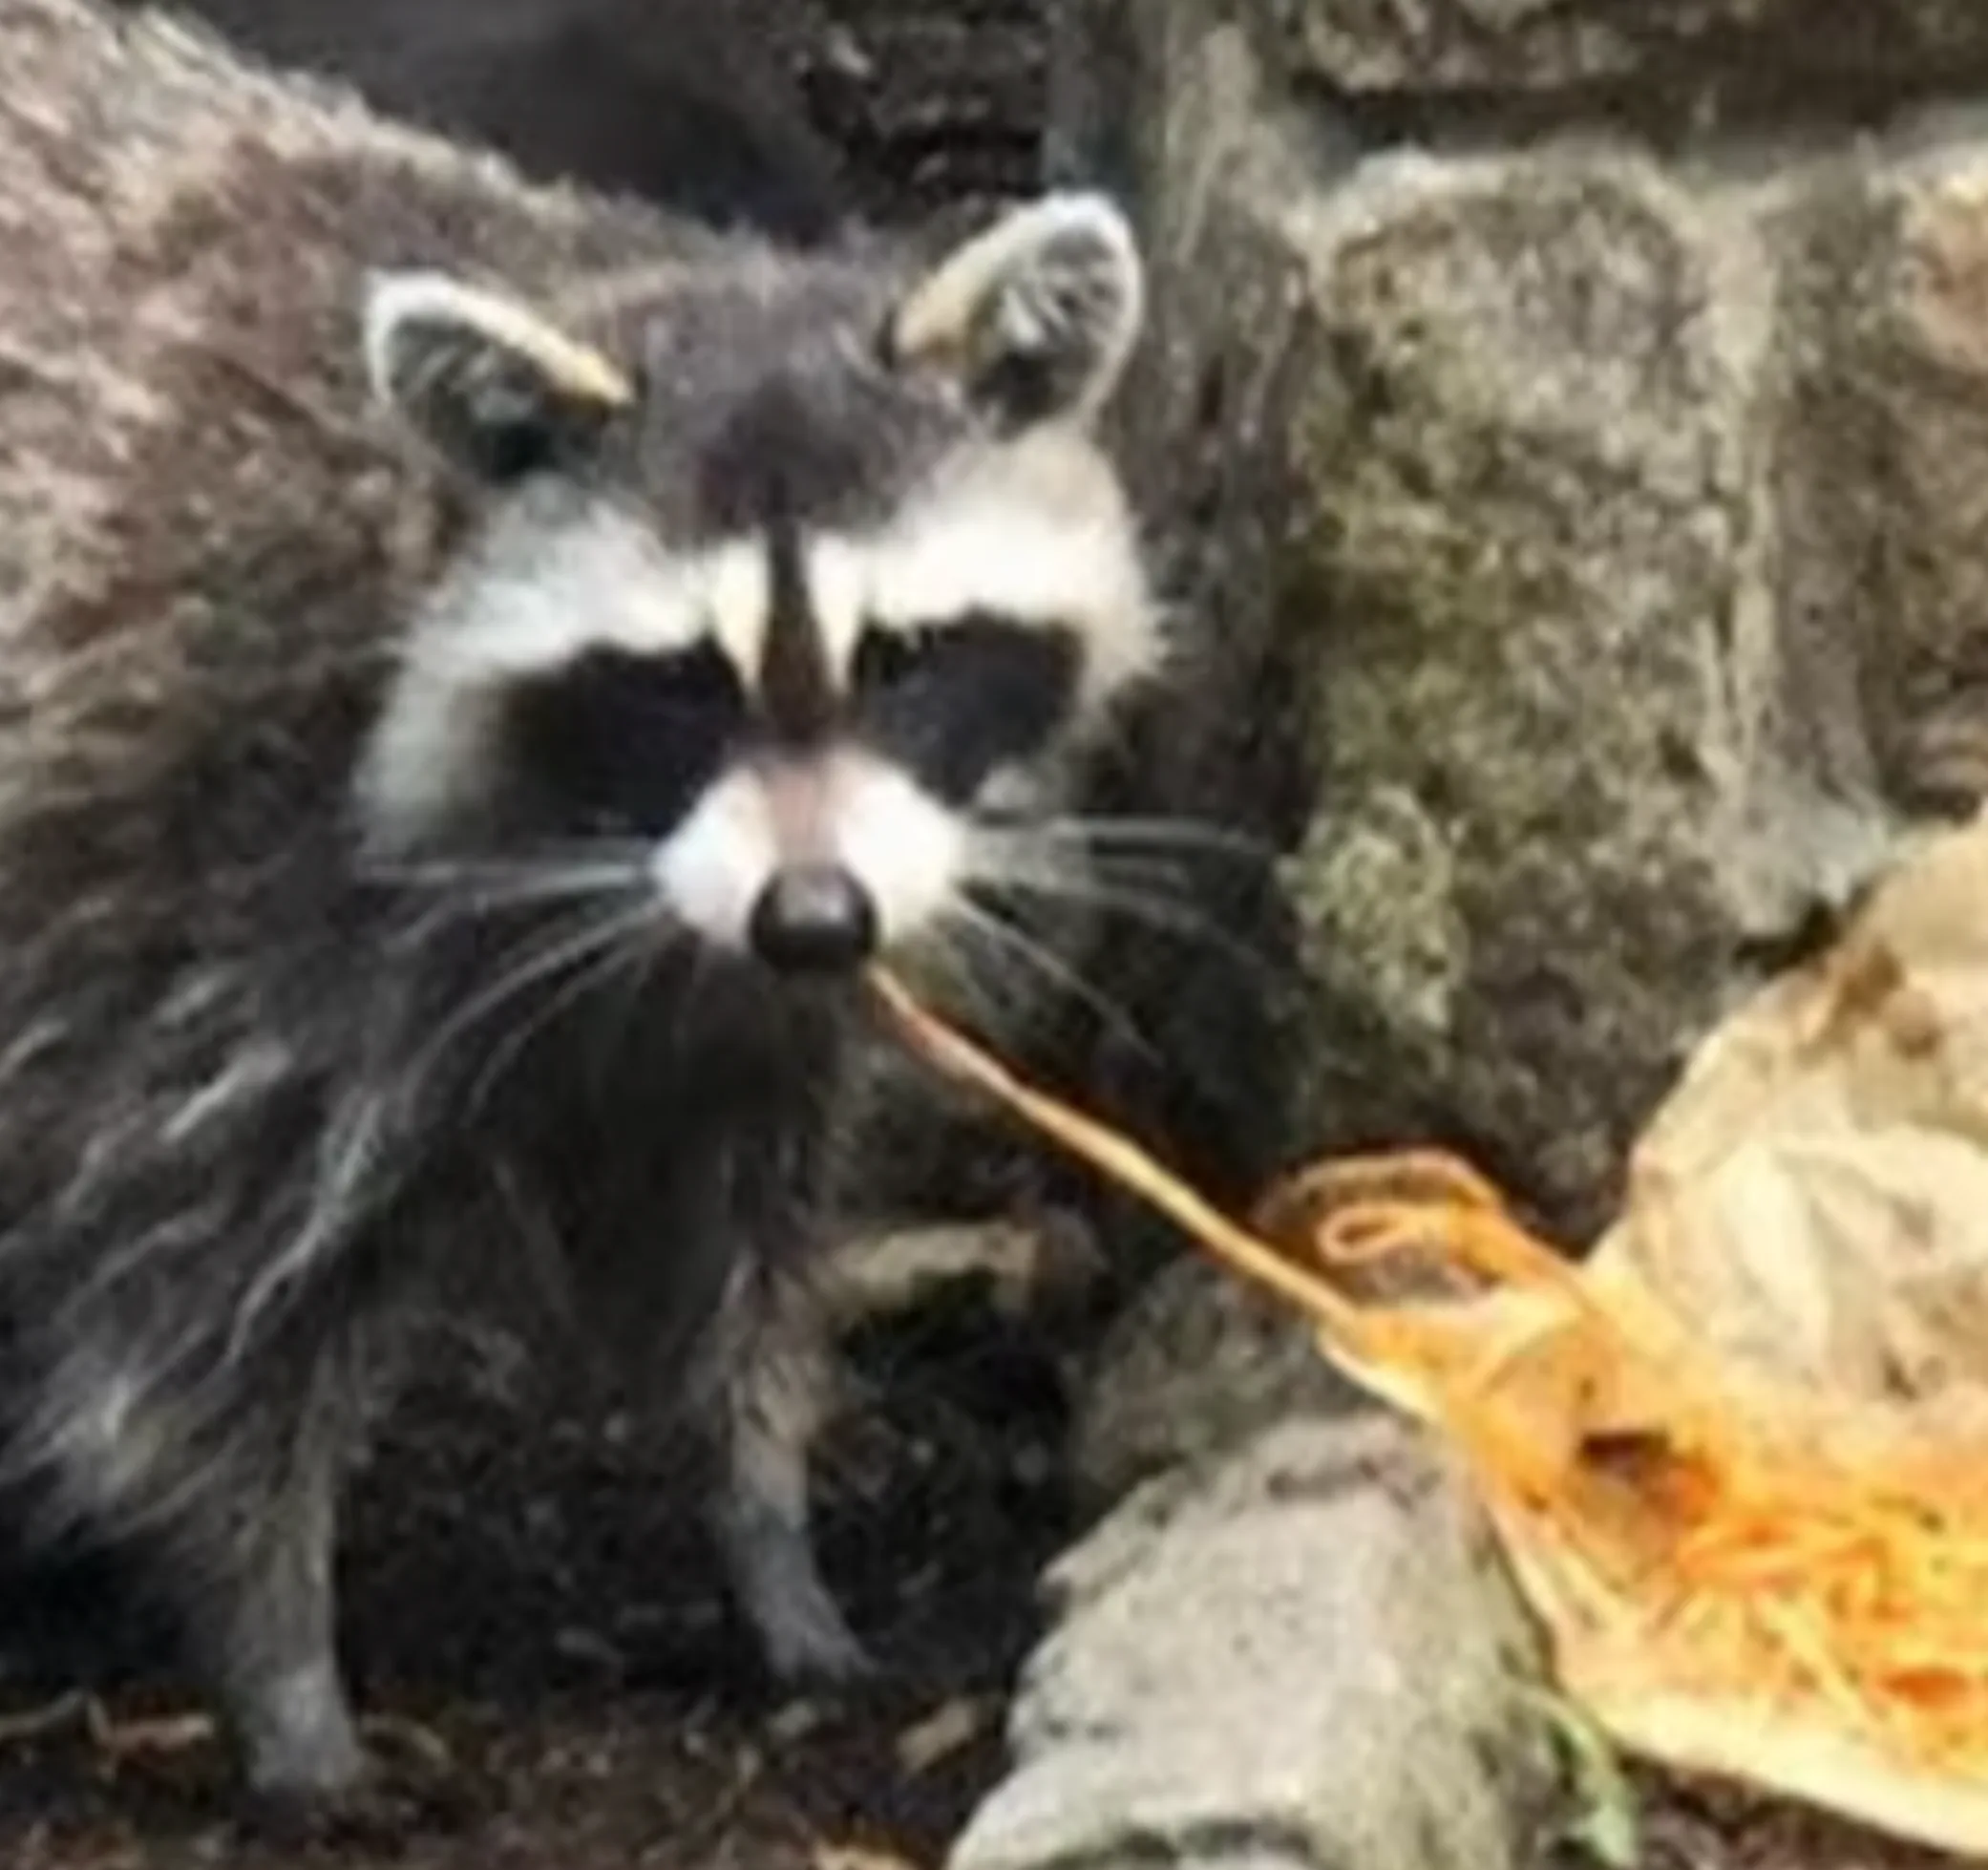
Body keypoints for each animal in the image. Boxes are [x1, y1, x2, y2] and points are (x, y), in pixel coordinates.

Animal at [0, 0, 1162, 1816]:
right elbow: (198, 1325)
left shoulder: (731, 1005)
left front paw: (764, 1531)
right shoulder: (210, 913)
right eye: (678, 678)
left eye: (905, 653)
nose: (816, 918)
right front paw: (284, 1672)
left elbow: (733, 1241)